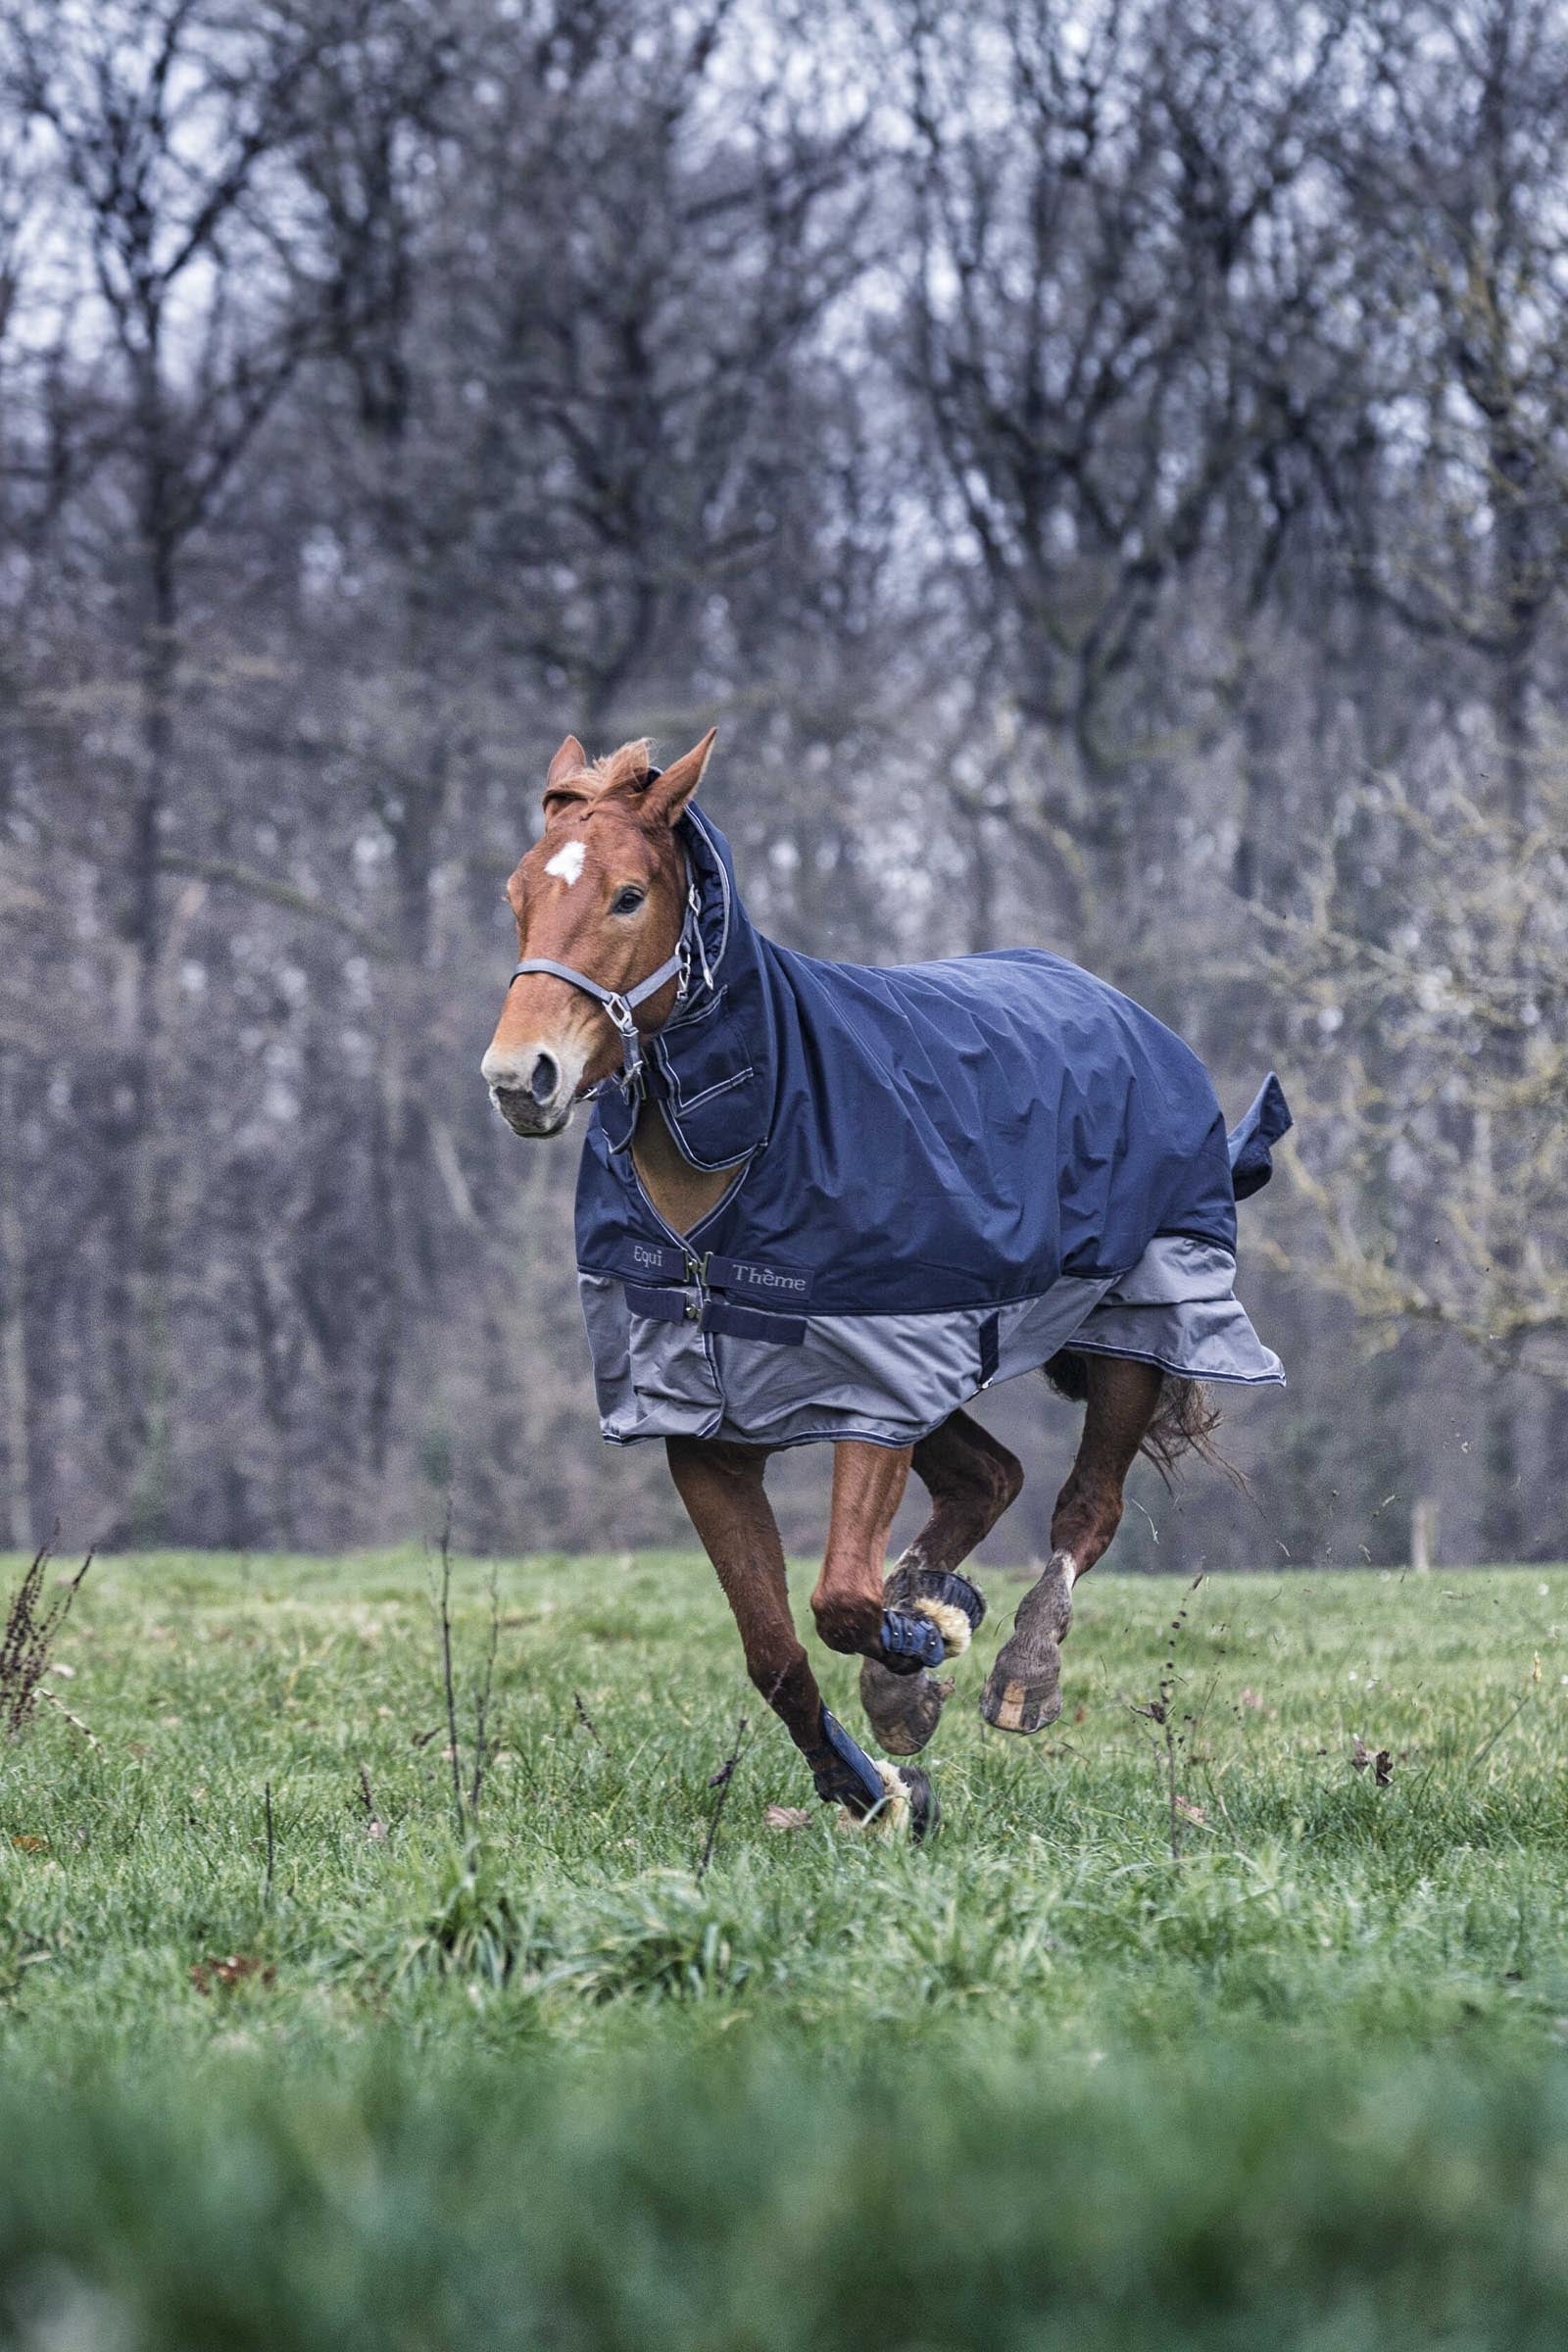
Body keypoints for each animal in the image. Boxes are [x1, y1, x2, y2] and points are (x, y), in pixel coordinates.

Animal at [481, 731, 1288, 1839]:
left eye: (627, 896)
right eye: (517, 892)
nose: (521, 1079)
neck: (756, 1141)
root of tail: (1129, 1013)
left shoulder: (876, 1389)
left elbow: (840, 1602)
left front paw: (925, 1640)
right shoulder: (710, 1431)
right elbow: (777, 1651)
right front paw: (877, 1780)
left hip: (1135, 1320)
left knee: (1086, 1508)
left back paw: (1017, 1670)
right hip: (946, 1364)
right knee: (990, 1475)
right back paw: (925, 1635)